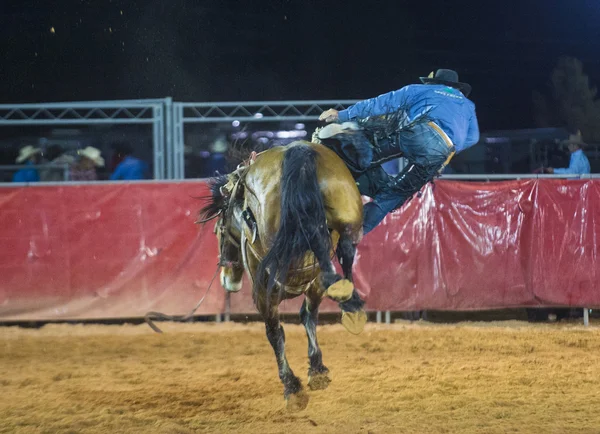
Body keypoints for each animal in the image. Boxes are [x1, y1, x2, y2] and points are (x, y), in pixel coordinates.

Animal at [200, 140, 366, 410]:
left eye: (217, 230)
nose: (227, 278)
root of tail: (297, 151)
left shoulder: (263, 295)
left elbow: (275, 333)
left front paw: (292, 387)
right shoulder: (313, 286)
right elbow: (308, 315)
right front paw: (317, 370)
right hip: (346, 212)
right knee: (342, 246)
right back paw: (349, 300)